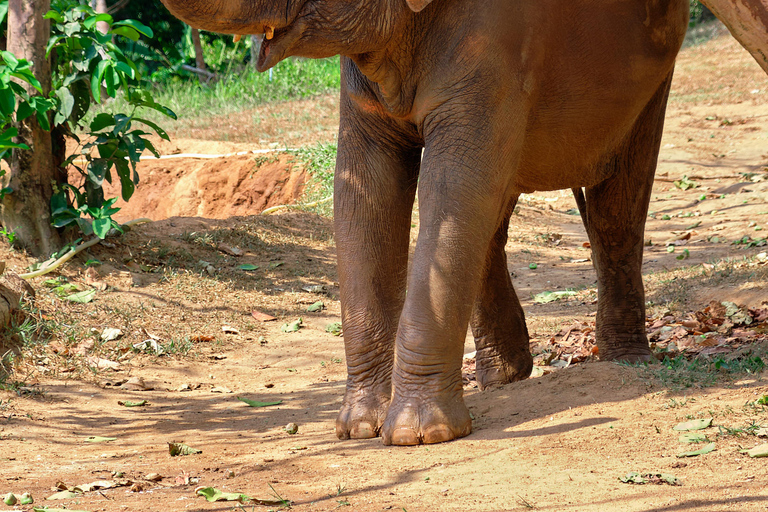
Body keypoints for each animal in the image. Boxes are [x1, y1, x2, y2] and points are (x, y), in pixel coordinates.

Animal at [159, 0, 768, 444]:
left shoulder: (492, 47)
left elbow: (450, 184)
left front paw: (418, 436)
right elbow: (362, 195)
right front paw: (357, 429)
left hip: (649, 79)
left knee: (615, 205)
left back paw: (623, 361)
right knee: (494, 212)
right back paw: (503, 376)